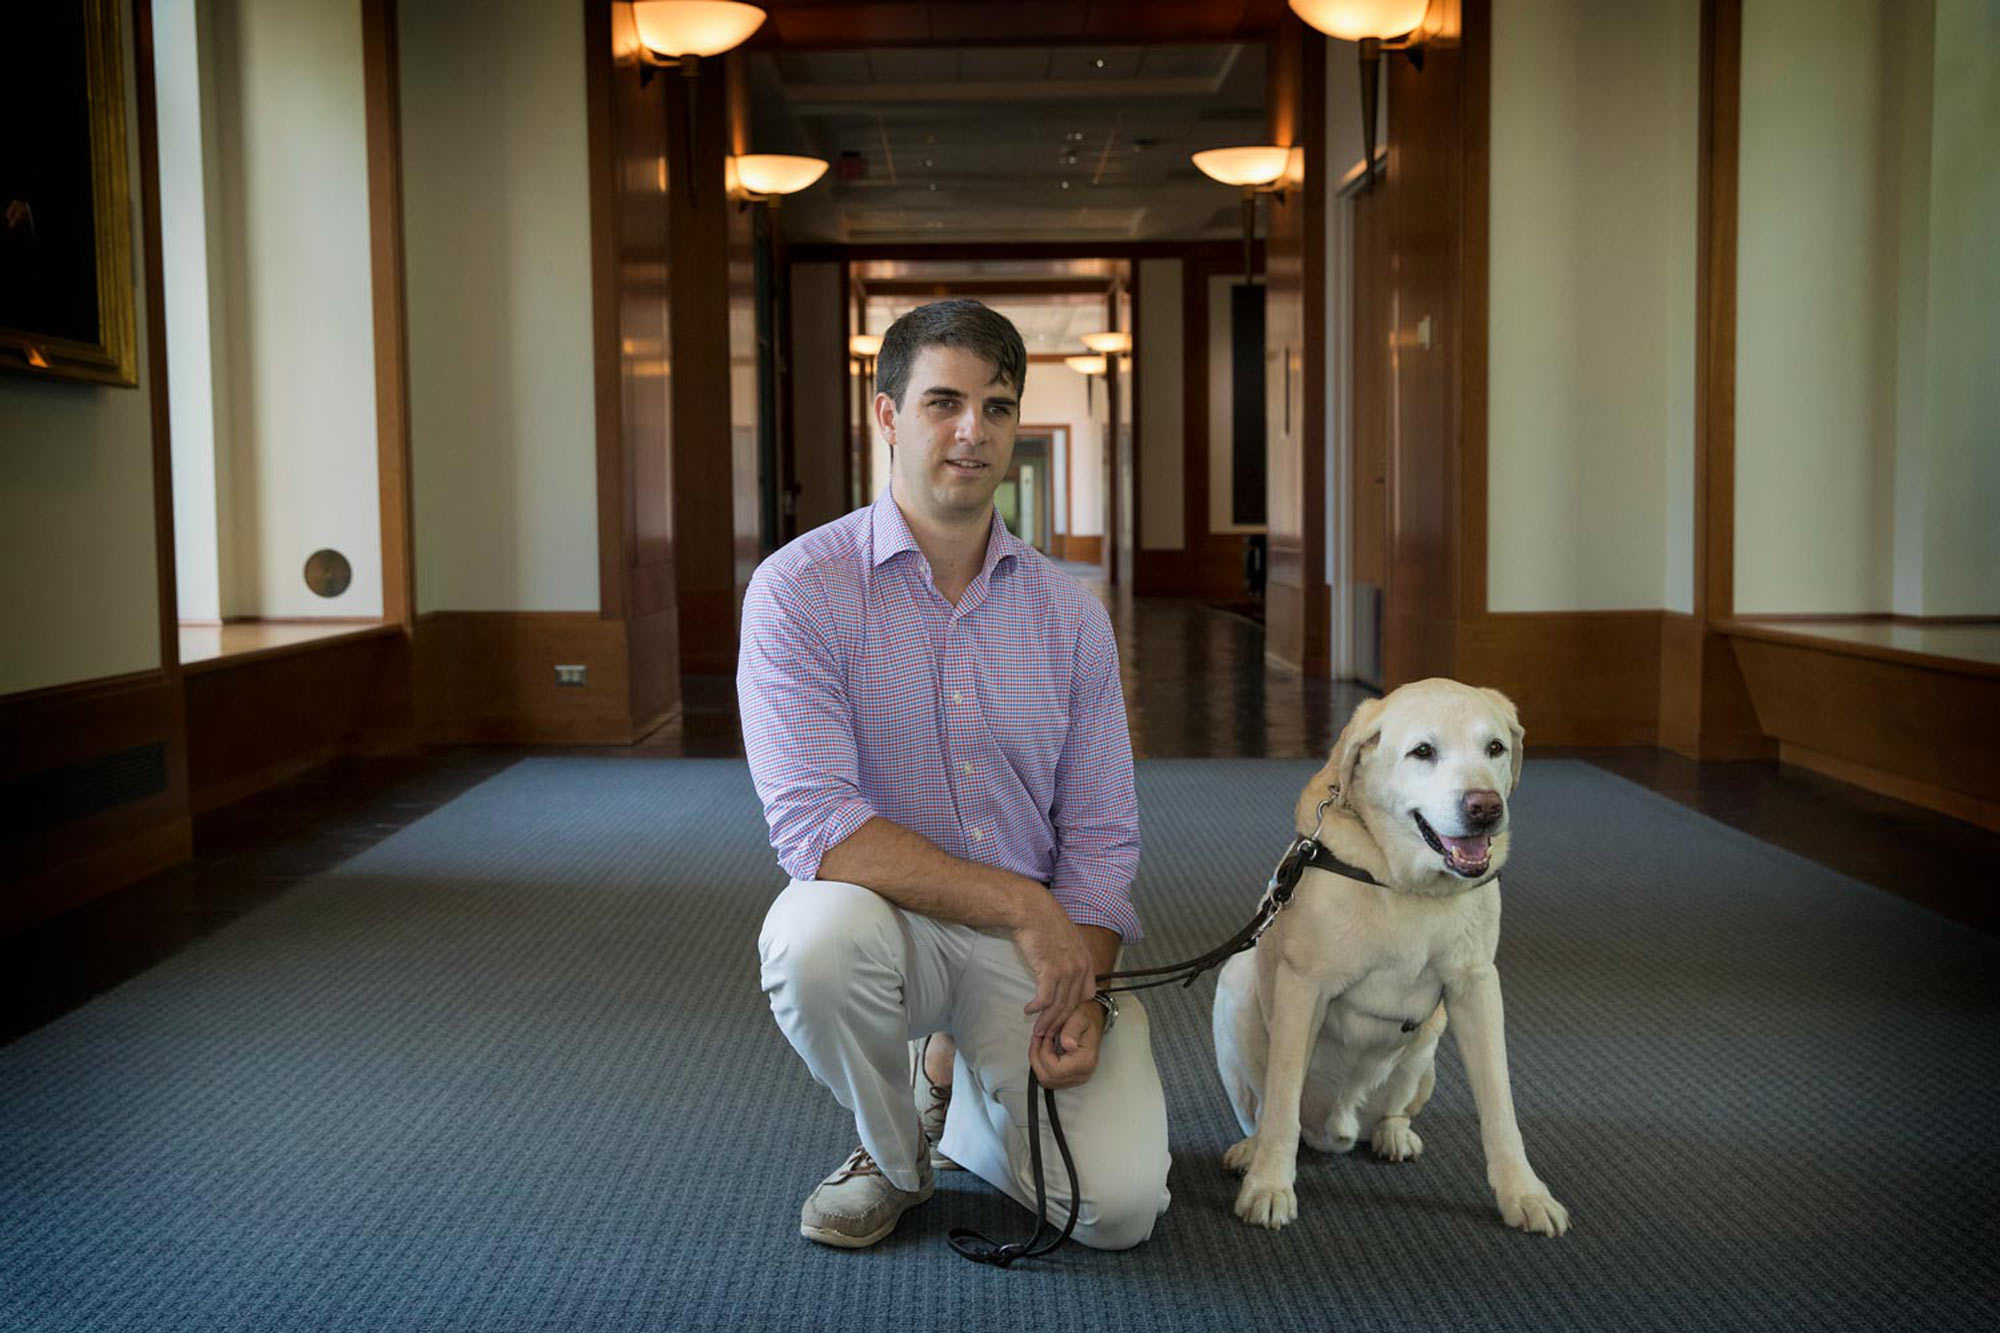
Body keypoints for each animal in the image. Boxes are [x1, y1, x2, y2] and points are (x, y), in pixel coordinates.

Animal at [1208, 680, 1568, 1232]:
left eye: (1495, 748)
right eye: (1423, 752)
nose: (1485, 807)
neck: (1408, 885)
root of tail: (1338, 1127)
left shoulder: (1476, 987)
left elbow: (1499, 1105)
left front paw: (1523, 1193)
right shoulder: (1303, 988)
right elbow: (1282, 1103)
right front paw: (1269, 1184)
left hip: (1429, 1044)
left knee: (1393, 1110)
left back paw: (1392, 1133)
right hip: (1236, 989)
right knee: (1264, 1110)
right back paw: (1252, 1151)